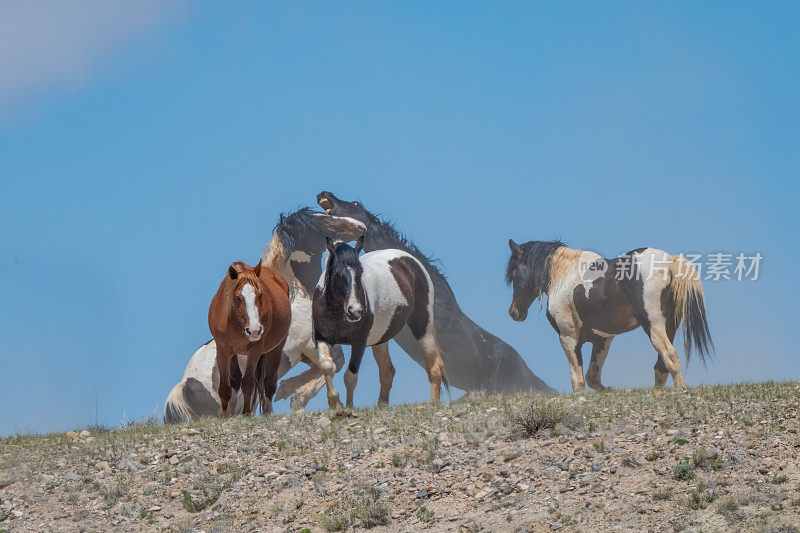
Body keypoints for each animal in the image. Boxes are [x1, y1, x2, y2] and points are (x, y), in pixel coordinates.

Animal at [209, 260, 290, 414]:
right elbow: (225, 387)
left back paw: (267, 412)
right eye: (237, 297)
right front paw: (225, 415)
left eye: (260, 295)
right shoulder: (223, 350)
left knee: (269, 383)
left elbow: (247, 383)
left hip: (276, 348)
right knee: (236, 380)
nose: (254, 330)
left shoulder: (255, 350)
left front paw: (246, 413)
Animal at [312, 237, 450, 408]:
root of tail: (410, 260)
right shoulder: (322, 338)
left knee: (435, 366)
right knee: (387, 372)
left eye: (360, 272)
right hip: (381, 339)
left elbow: (350, 377)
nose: (355, 311)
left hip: (423, 324)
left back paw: (433, 403)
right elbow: (327, 365)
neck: (337, 313)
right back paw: (382, 405)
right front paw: (335, 405)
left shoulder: (359, 343)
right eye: (338, 273)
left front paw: (348, 407)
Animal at [504, 241, 716, 390]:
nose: (514, 312)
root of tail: (670, 261)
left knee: (670, 357)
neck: (563, 276)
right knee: (662, 366)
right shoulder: (602, 340)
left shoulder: (568, 338)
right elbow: (592, 378)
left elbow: (578, 380)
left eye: (514, 274)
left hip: (653, 326)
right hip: (669, 326)